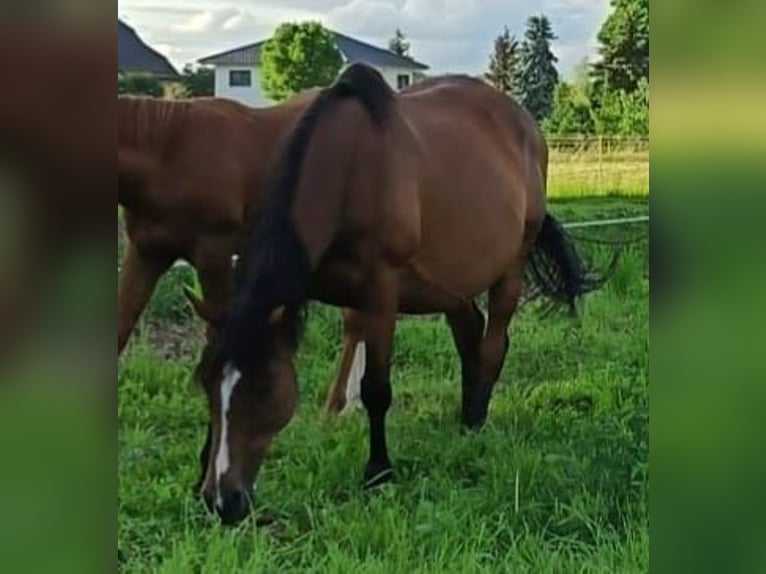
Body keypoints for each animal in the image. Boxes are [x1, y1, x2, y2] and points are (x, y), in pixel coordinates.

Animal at [194, 63, 614, 525]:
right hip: (449, 285)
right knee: (470, 336)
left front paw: (378, 472)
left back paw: (476, 422)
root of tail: (528, 128)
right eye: (206, 384)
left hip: (511, 267)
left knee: (492, 345)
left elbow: (376, 390)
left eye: (265, 388)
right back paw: (466, 416)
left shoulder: (381, 294)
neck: (347, 170)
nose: (223, 501)